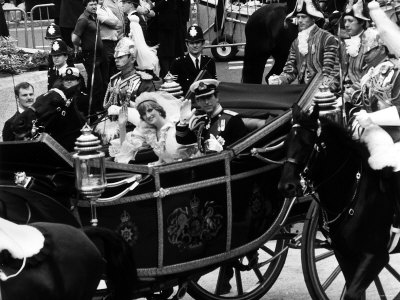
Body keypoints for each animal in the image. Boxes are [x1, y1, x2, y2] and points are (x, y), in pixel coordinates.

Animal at [278, 104, 394, 298]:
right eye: (285, 144)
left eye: (307, 144)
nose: (285, 186)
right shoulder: (344, 254)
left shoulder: (376, 255)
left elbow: (352, 292)